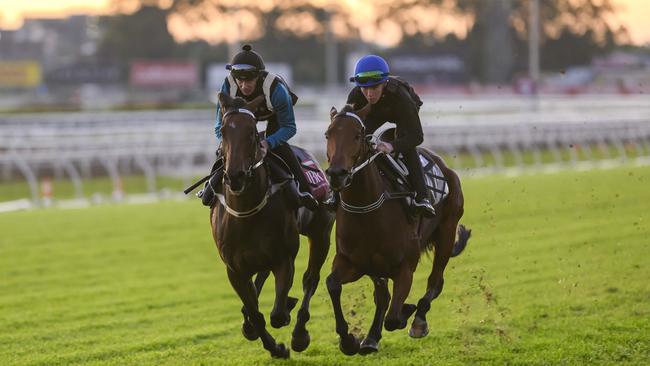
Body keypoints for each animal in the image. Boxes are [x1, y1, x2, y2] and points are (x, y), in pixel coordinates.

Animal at [211, 93, 334, 358]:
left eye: (251, 132)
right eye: (223, 131)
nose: (235, 176)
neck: (246, 214)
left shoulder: (284, 259)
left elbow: (277, 315)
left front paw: (288, 316)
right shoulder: (234, 269)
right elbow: (256, 313)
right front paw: (275, 347)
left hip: (321, 233)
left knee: (311, 279)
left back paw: (299, 333)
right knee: (259, 282)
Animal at [324, 104, 470, 356]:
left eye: (357, 135)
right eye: (328, 134)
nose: (336, 174)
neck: (367, 209)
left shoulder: (405, 268)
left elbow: (393, 317)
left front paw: (407, 312)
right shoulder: (353, 262)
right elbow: (333, 284)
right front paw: (349, 340)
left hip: (447, 232)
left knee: (435, 281)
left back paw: (418, 319)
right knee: (384, 296)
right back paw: (371, 338)